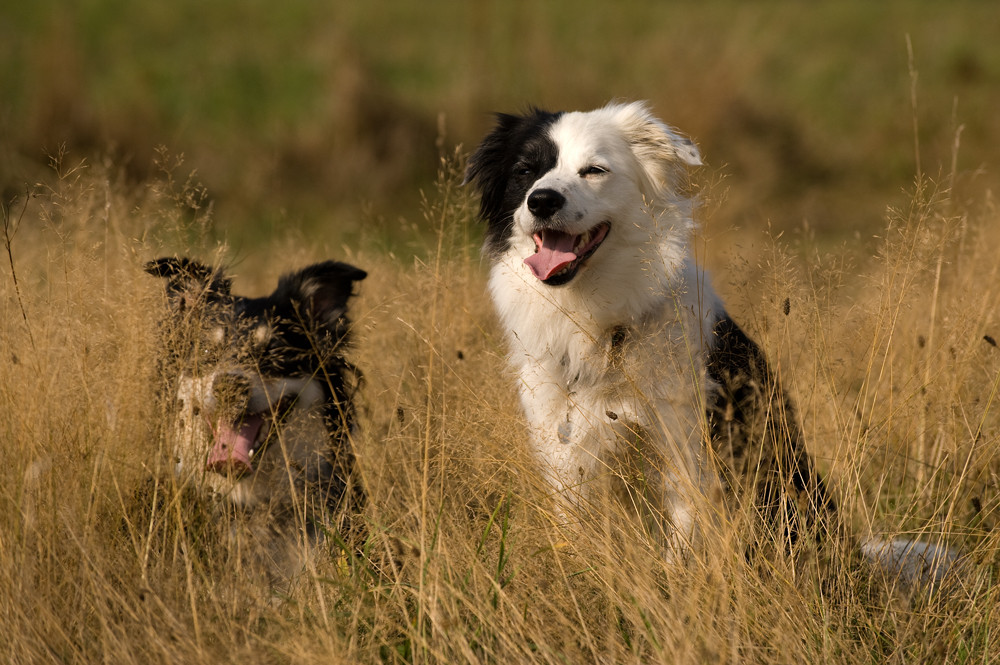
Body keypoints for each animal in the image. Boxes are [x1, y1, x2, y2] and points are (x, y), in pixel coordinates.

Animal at [468, 101, 960, 580]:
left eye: (594, 170)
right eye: (525, 171)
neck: (597, 325)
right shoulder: (567, 456)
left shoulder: (686, 449)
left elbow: (682, 550)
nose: (542, 200)